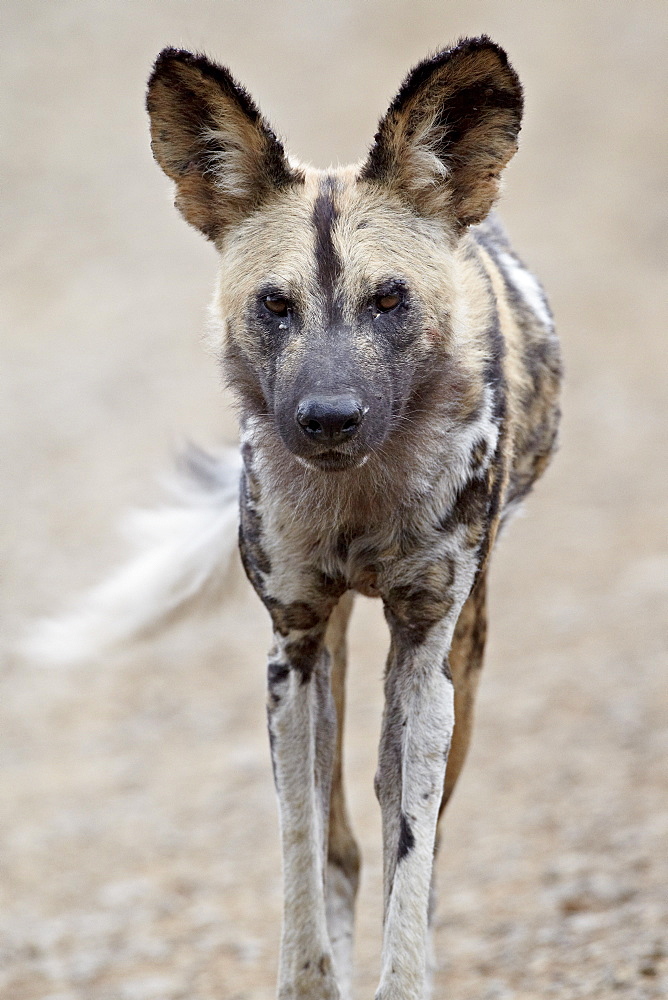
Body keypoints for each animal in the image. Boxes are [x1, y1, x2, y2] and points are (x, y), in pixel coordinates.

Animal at [31, 33, 560, 1000]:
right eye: (275, 306)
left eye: (390, 300)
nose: (329, 417)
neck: (359, 497)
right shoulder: (295, 644)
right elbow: (304, 846)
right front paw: (312, 979)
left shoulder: (426, 653)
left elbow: (410, 850)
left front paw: (403, 978)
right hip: (340, 645)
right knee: (343, 842)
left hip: (459, 656)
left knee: (405, 828)